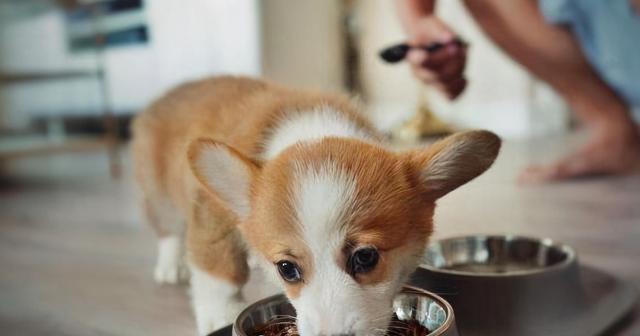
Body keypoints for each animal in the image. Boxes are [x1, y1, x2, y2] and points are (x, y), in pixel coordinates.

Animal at [130, 77, 500, 336]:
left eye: (366, 257)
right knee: (167, 229)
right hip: (161, 195)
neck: (313, 131)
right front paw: (219, 314)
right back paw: (170, 265)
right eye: (286, 269)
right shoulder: (214, 216)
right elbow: (218, 271)